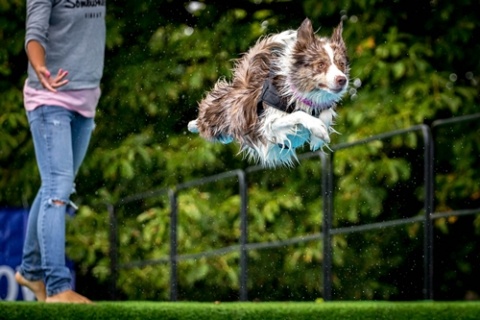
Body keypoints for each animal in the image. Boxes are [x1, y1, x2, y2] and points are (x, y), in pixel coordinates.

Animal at [188, 18, 348, 168]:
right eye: (320, 64)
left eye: (341, 64)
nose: (342, 79)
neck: (303, 96)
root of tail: (243, 84)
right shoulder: (268, 126)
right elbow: (298, 114)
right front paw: (317, 128)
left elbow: (326, 113)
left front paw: (317, 138)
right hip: (217, 115)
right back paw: (192, 124)